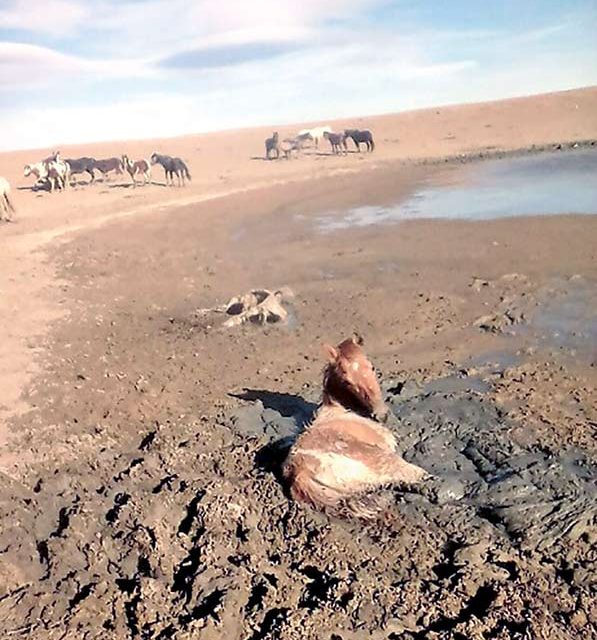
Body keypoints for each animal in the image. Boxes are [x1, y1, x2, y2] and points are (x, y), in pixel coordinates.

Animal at [283, 334, 428, 516]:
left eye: (372, 367)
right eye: (347, 381)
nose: (381, 414)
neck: (340, 411)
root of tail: (300, 473)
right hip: (382, 460)